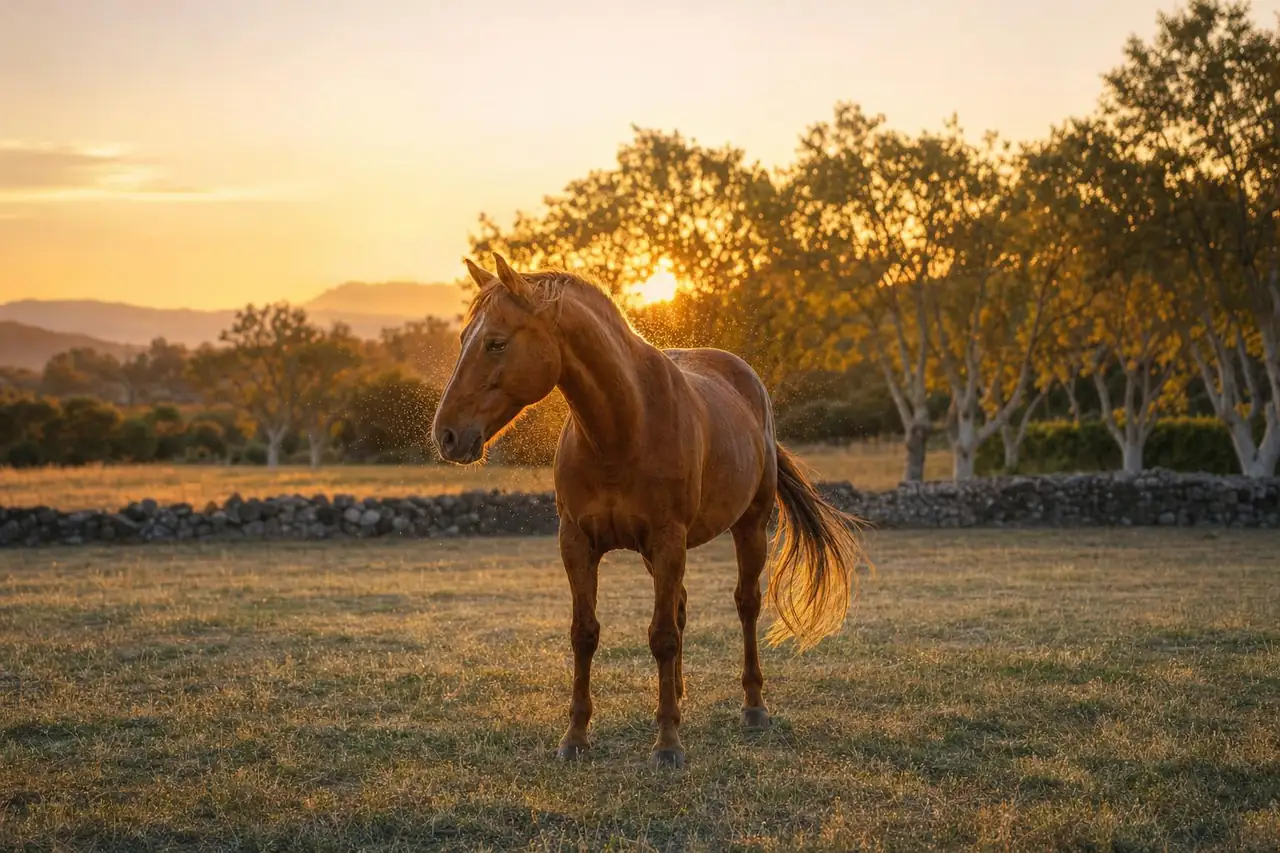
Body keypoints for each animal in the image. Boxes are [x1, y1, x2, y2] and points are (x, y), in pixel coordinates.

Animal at [431, 253, 868, 768]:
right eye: (463, 339)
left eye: (496, 342)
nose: (446, 435)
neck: (623, 428)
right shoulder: (577, 543)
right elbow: (586, 633)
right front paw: (576, 736)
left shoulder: (667, 538)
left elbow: (661, 637)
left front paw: (667, 745)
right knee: (680, 607)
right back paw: (677, 697)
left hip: (749, 526)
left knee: (745, 605)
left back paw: (753, 707)